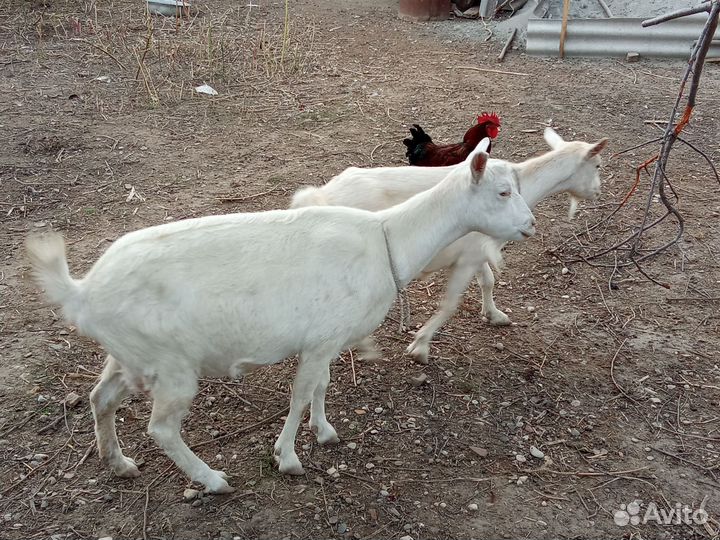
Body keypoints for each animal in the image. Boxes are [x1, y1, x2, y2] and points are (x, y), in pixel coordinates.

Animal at [25, 139, 536, 494]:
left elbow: (322, 386)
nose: (530, 224)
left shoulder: (326, 339)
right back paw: (212, 479)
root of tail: (82, 290)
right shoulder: (320, 340)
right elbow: (300, 394)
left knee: (101, 397)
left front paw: (324, 431)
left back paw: (118, 463)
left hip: (130, 355)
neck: (386, 238)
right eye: (502, 191)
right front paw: (287, 457)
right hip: (170, 365)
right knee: (162, 428)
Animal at [291, 127, 608, 364]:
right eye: (597, 165)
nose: (597, 191)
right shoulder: (467, 258)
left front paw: (495, 315)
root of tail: (318, 196)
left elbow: (488, 281)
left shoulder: (477, 251)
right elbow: (449, 303)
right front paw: (420, 347)